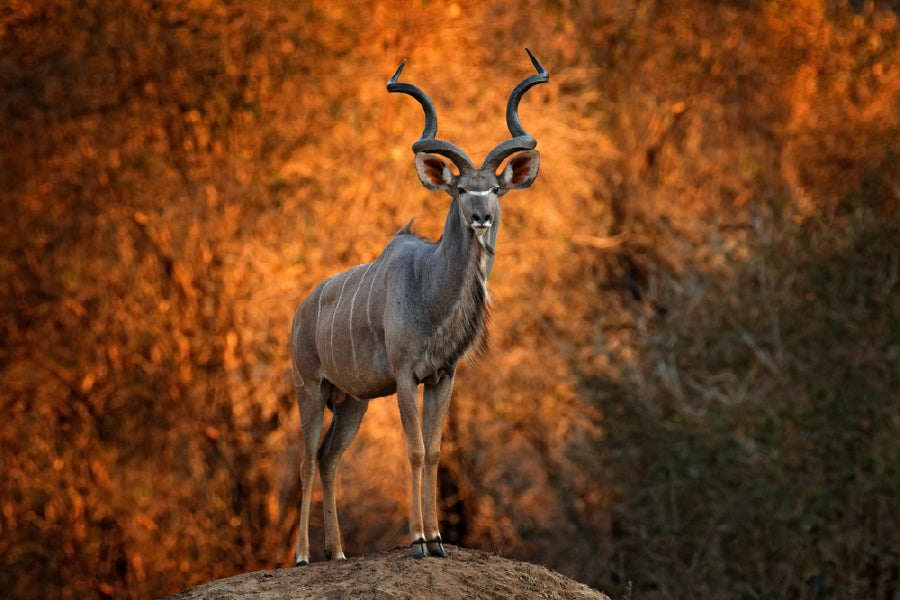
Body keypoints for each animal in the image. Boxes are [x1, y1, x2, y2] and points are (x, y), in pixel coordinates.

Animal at [294, 49, 548, 564]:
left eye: (494, 188)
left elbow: (433, 452)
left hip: (351, 402)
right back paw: (304, 555)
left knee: (329, 458)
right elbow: (412, 449)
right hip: (309, 388)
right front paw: (416, 540)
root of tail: (300, 313)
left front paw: (437, 539)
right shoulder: (406, 376)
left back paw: (339, 553)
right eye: (460, 189)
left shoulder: (442, 377)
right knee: (308, 460)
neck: (430, 287)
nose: (481, 217)